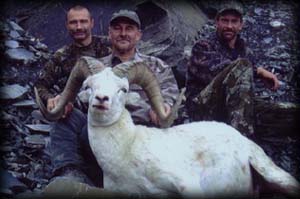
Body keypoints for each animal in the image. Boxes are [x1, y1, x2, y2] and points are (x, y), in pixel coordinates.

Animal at [34, 56, 298, 197]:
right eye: (88, 85)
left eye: (123, 89)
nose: (101, 100)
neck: (125, 154)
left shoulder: (186, 186)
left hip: (272, 173)